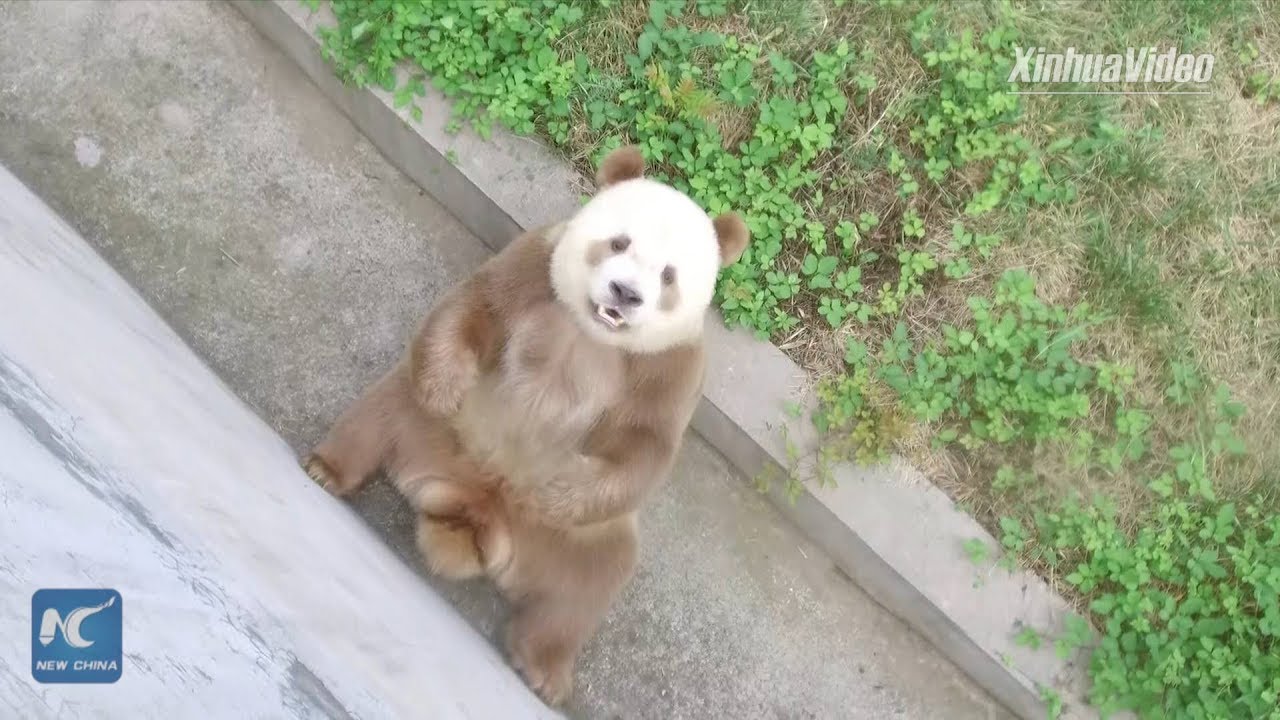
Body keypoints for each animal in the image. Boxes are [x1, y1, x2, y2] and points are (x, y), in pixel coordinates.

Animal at [303, 145, 748, 706]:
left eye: (669, 276)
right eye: (619, 241)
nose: (625, 293)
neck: (593, 332)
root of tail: (481, 505)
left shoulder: (667, 363)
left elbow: (645, 442)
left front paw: (559, 489)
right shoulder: (537, 270)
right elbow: (479, 305)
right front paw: (447, 383)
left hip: (576, 539)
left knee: (588, 587)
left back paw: (543, 670)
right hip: (436, 429)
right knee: (384, 410)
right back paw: (328, 469)